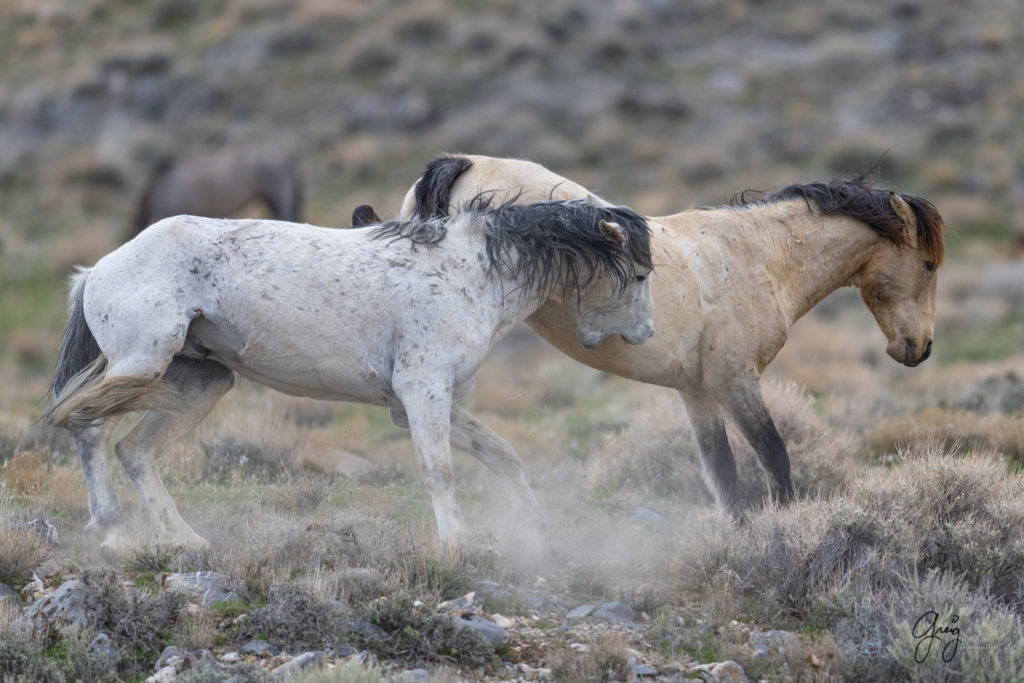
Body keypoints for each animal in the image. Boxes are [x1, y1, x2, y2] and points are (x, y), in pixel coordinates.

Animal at [44, 197, 651, 548]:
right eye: (641, 274)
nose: (644, 335)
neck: (472, 272)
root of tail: (96, 270)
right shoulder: (423, 392)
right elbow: (440, 470)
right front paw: (459, 543)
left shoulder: (423, 403)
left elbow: (502, 454)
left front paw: (535, 527)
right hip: (142, 362)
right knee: (90, 429)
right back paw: (110, 532)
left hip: (200, 383)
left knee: (136, 451)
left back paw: (185, 541)